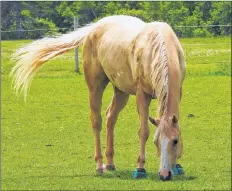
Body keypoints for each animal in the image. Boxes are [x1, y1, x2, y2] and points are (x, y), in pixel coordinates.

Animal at [10, 15, 187, 181]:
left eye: (175, 141)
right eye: (156, 142)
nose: (165, 174)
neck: (156, 47)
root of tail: (94, 28)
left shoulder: (178, 92)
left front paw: (178, 167)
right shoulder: (142, 95)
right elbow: (143, 131)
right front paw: (140, 168)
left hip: (121, 91)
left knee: (110, 117)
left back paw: (110, 163)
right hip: (95, 87)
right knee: (97, 122)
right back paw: (100, 166)